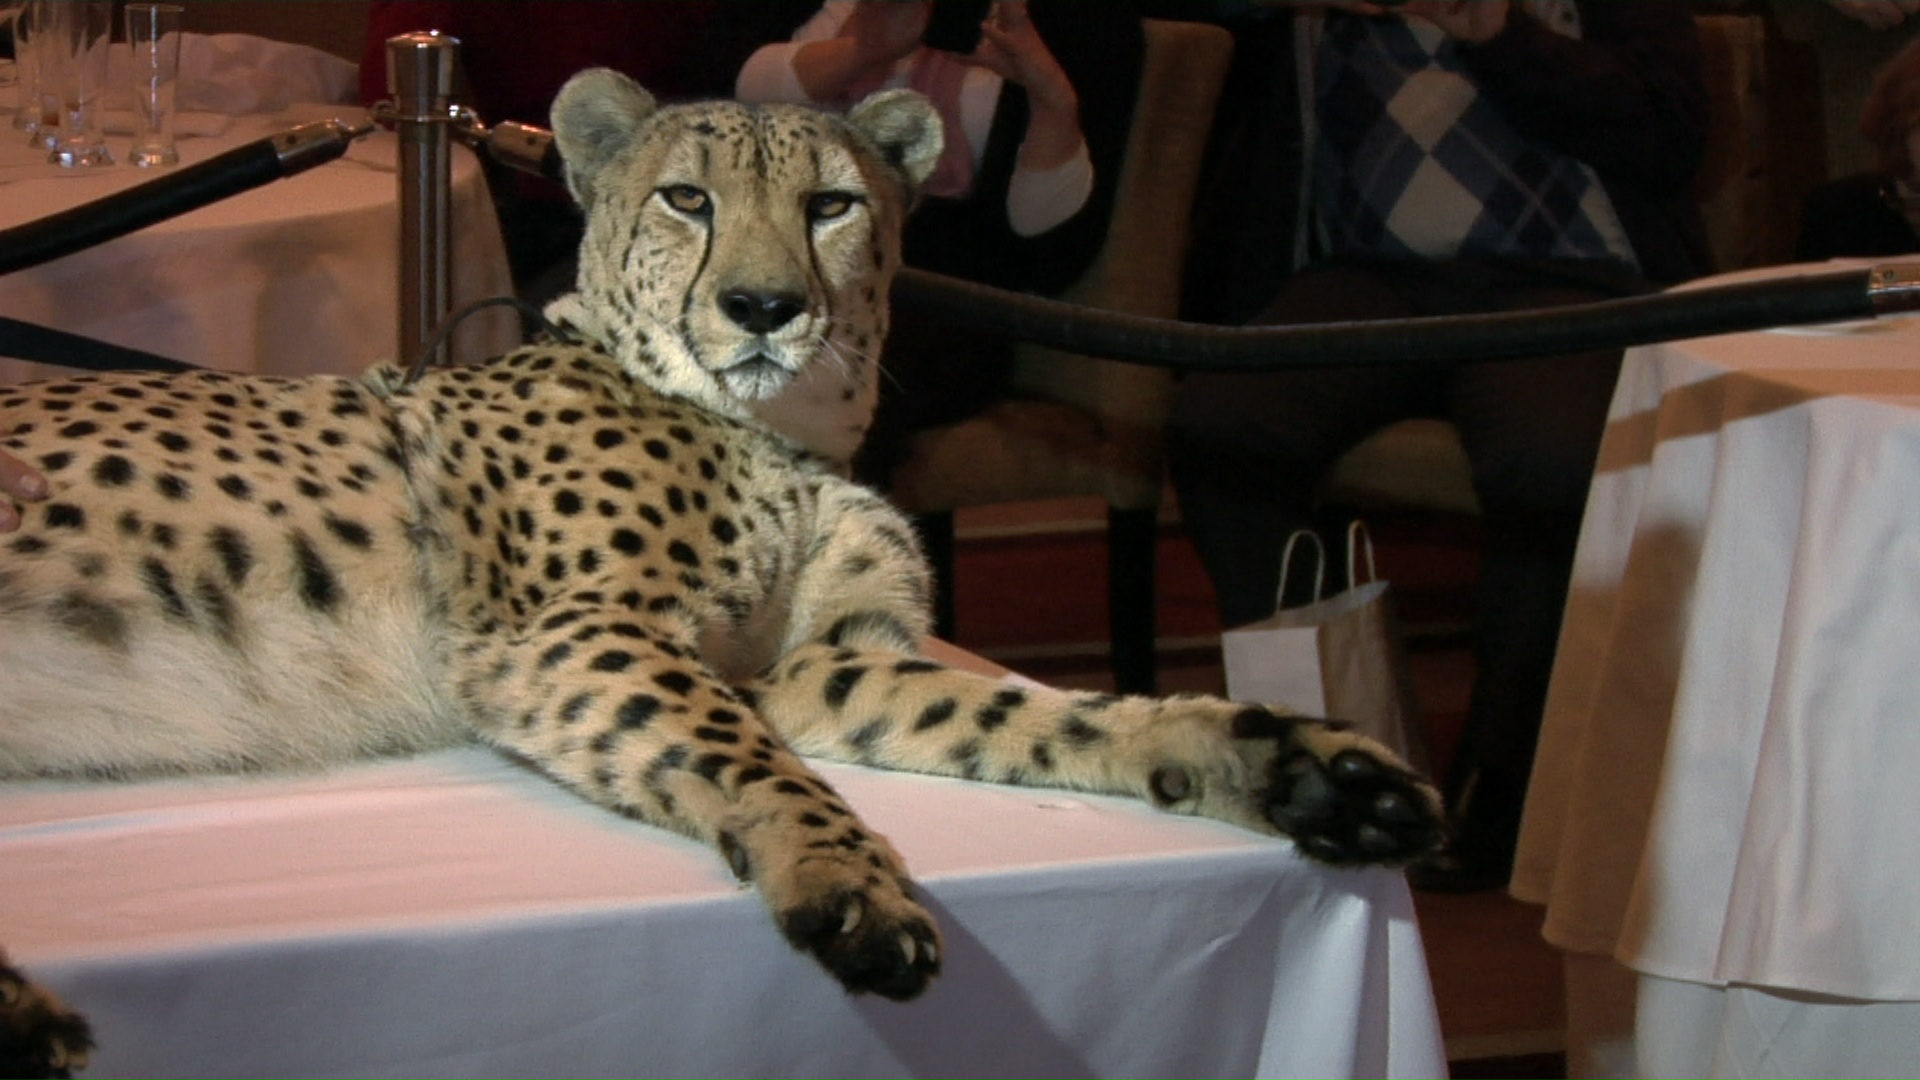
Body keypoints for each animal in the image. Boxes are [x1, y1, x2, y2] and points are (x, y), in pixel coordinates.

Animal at [0, 68, 1442, 1078]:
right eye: (687, 199)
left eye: (833, 205)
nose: (763, 308)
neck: (779, 432)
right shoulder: (574, 632)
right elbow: (742, 753)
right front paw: (845, 883)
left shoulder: (829, 664)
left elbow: (1033, 716)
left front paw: (1288, 764)